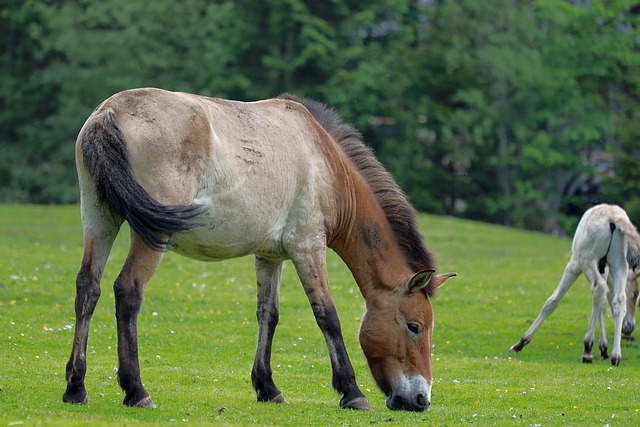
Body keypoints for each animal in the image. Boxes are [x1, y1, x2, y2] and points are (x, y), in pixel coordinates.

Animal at [62, 87, 456, 412]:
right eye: (414, 326)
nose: (421, 399)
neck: (324, 161)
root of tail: (109, 113)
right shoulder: (307, 247)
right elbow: (327, 315)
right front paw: (352, 392)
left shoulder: (270, 256)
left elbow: (269, 314)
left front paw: (267, 387)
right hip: (150, 234)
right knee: (127, 292)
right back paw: (136, 390)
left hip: (99, 220)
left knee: (88, 289)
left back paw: (76, 387)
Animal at [510, 206, 640, 366]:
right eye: (635, 294)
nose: (629, 327)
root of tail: (613, 217)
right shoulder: (604, 269)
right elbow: (603, 304)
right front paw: (604, 349)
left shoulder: (573, 266)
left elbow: (552, 302)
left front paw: (520, 343)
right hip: (619, 264)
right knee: (618, 300)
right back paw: (616, 356)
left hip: (584, 261)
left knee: (598, 288)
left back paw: (587, 349)